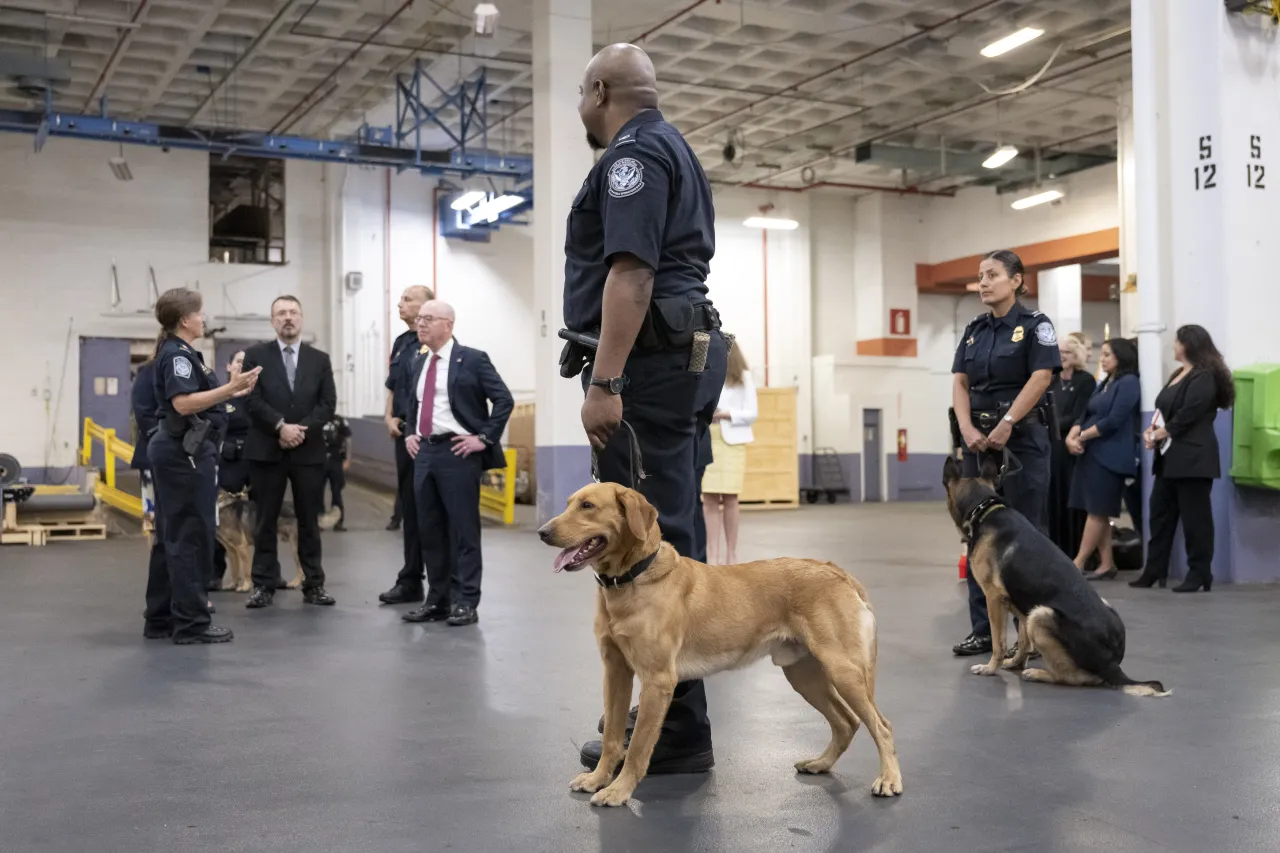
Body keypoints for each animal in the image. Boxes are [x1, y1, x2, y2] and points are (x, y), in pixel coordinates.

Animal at [535, 481, 906, 809]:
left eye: (588, 506)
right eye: (569, 503)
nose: (542, 532)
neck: (633, 579)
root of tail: (837, 572)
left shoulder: (657, 680)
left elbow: (638, 746)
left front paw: (618, 791)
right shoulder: (615, 672)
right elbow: (613, 736)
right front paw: (598, 779)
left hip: (843, 670)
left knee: (881, 726)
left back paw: (889, 779)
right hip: (804, 675)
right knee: (846, 722)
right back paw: (821, 763)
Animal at [942, 455, 1172, 696]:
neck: (984, 509)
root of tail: (1113, 665)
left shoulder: (993, 598)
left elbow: (999, 642)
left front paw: (990, 668)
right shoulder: (1019, 601)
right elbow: (1023, 640)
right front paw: (1015, 662)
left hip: (1040, 616)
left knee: (1076, 677)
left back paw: (1038, 673)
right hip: (1045, 611)